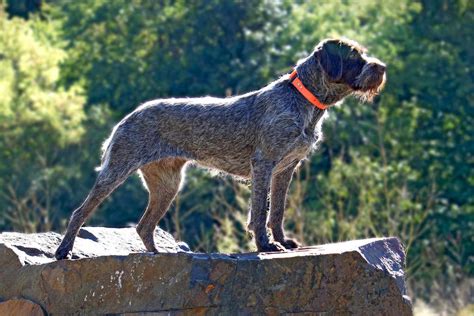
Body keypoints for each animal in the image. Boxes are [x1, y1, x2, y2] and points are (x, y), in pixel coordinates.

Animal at [54, 37, 386, 260]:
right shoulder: (264, 165)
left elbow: (277, 210)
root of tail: (126, 118)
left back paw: (158, 255)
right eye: (355, 56)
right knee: (80, 212)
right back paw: (63, 251)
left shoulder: (285, 170)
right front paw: (266, 245)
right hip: (116, 171)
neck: (304, 99)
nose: (381, 67)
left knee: (144, 226)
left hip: (168, 185)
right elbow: (260, 211)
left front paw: (282, 241)